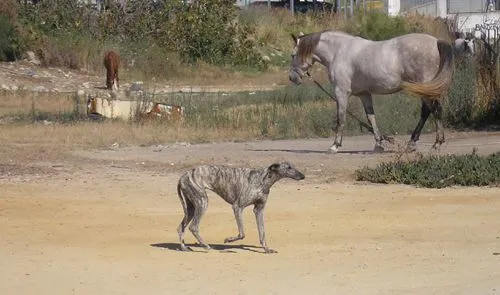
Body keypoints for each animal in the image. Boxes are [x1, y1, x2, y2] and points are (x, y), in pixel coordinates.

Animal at [288, 30, 456, 154]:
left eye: (293, 55)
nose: (292, 78)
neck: (338, 52)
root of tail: (436, 42)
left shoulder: (341, 93)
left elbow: (340, 119)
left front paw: (335, 145)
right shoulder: (364, 94)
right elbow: (371, 118)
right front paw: (379, 144)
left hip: (426, 89)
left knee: (435, 111)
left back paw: (436, 144)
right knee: (427, 112)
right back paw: (412, 143)